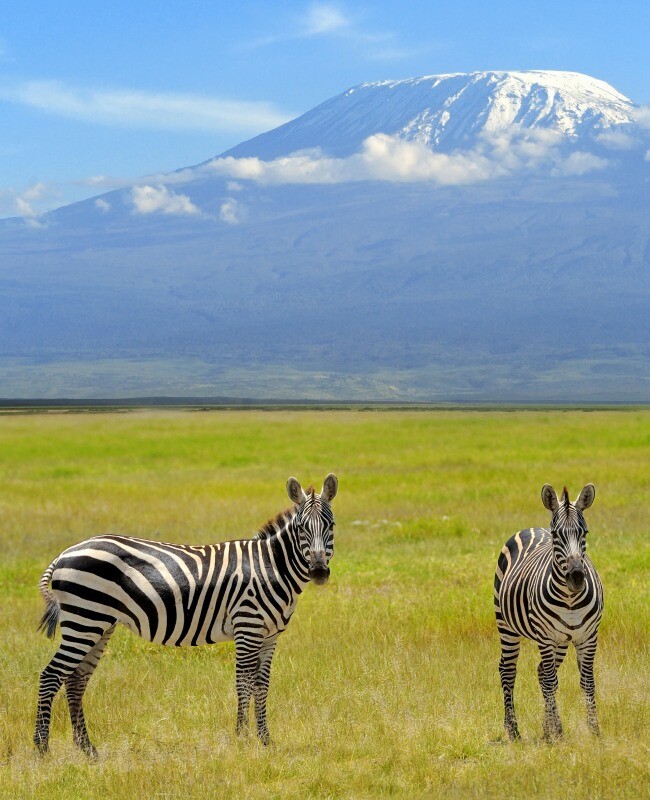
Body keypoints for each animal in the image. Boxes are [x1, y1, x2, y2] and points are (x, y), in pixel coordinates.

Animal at [34, 473, 338, 755]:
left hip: (99, 624)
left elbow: (262, 686)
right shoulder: (247, 628)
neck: (270, 567)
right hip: (84, 619)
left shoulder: (270, 636)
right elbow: (244, 683)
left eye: (331, 526)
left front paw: (265, 740)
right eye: (301, 528)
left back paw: (88, 750)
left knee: (76, 680)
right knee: (51, 675)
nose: (319, 572)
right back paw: (42, 750)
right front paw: (241, 739)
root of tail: (65, 553)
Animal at [494, 483, 603, 741]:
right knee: (508, 670)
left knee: (542, 672)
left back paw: (545, 729)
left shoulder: (588, 637)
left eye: (584, 533)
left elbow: (587, 681)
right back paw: (513, 730)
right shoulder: (545, 638)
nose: (576, 577)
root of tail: (531, 528)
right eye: (556, 535)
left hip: (561, 641)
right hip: (506, 626)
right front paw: (558, 732)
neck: (570, 599)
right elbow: (552, 682)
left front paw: (593, 730)